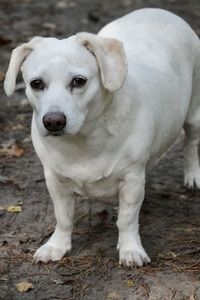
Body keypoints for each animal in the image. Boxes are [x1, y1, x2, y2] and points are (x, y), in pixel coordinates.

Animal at [3, 8, 200, 266]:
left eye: (79, 81)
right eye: (36, 83)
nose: (53, 121)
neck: (83, 141)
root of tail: (160, 11)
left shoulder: (131, 180)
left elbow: (126, 219)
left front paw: (130, 250)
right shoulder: (55, 181)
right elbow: (63, 217)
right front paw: (57, 246)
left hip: (194, 114)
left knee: (191, 143)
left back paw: (193, 176)